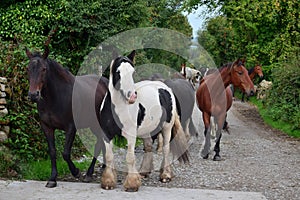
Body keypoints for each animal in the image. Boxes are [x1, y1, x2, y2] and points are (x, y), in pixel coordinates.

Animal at [25, 45, 108, 188]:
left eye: (44, 69)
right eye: (28, 68)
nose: (33, 95)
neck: (54, 97)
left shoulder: (71, 127)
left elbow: (65, 153)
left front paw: (76, 172)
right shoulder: (47, 127)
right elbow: (52, 152)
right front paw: (52, 179)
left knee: (99, 143)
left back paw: (89, 174)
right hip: (93, 124)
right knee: (102, 142)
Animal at [99, 50, 189, 192]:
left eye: (133, 72)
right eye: (118, 72)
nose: (132, 96)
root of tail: (166, 88)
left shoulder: (130, 135)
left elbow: (130, 158)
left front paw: (132, 184)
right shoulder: (106, 134)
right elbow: (109, 156)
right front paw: (108, 182)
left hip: (167, 128)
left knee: (166, 149)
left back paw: (165, 175)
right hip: (147, 130)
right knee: (148, 147)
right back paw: (144, 172)